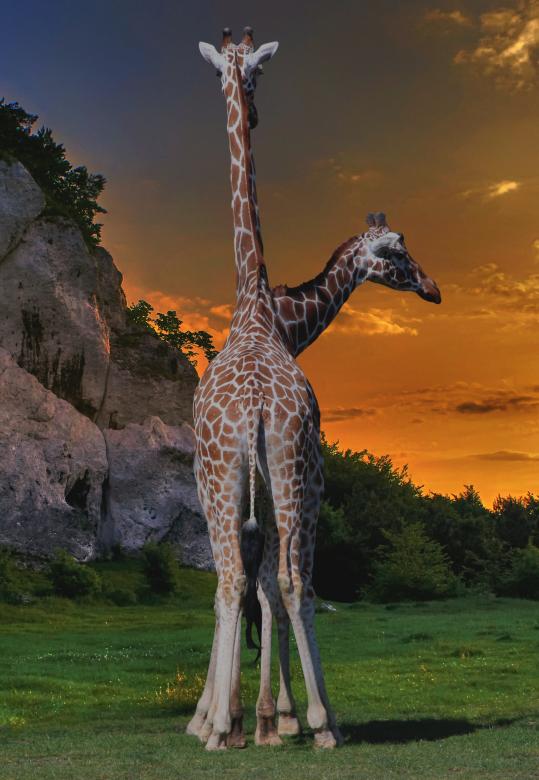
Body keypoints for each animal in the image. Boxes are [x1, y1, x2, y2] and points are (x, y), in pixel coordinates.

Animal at [187, 29, 441, 751]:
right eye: (397, 250)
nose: (433, 288)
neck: (264, 311)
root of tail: (254, 409)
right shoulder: (295, 481)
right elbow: (271, 587)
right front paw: (274, 717)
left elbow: (254, 587)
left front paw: (258, 718)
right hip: (281, 475)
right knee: (280, 581)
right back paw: (306, 720)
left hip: (237, 479)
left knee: (243, 581)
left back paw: (236, 723)